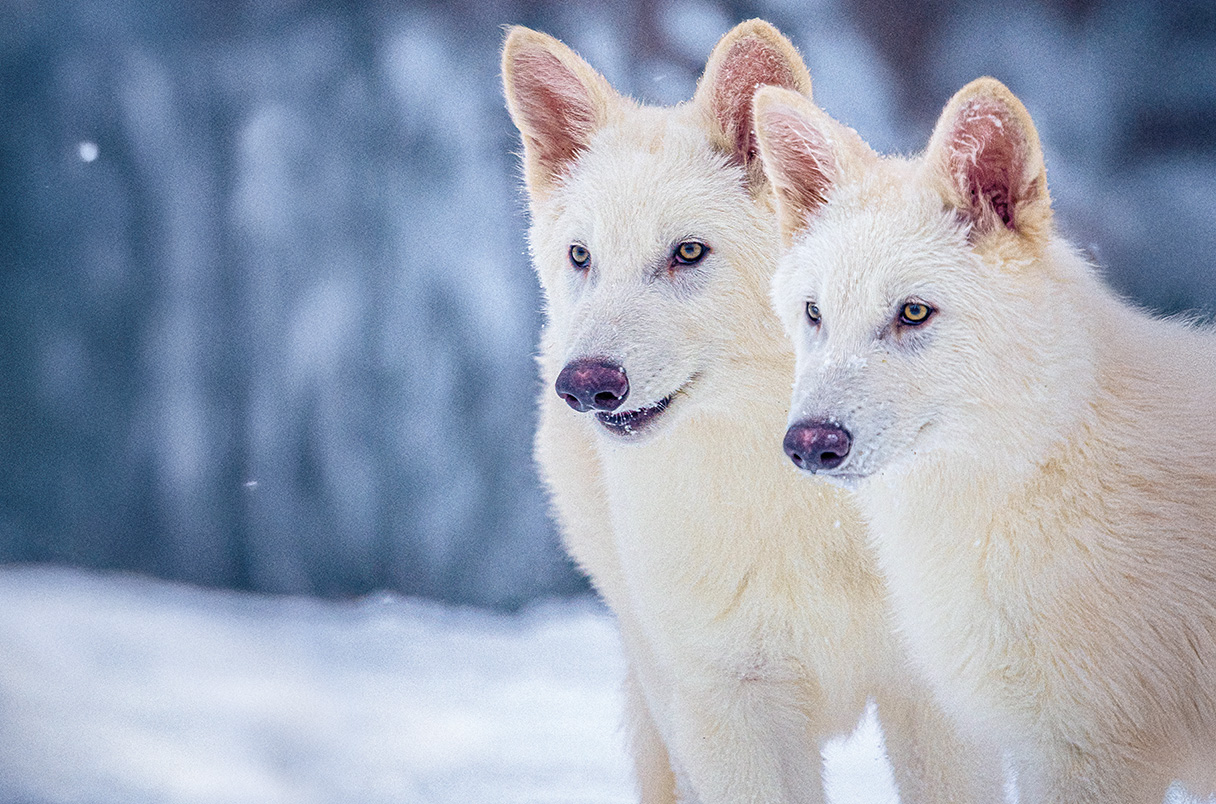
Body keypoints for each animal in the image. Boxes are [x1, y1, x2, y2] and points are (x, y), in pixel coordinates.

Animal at [501, 20, 1000, 804]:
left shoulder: (934, 701)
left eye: (688, 252)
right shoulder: (727, 709)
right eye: (582, 256)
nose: (585, 385)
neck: (800, 506)